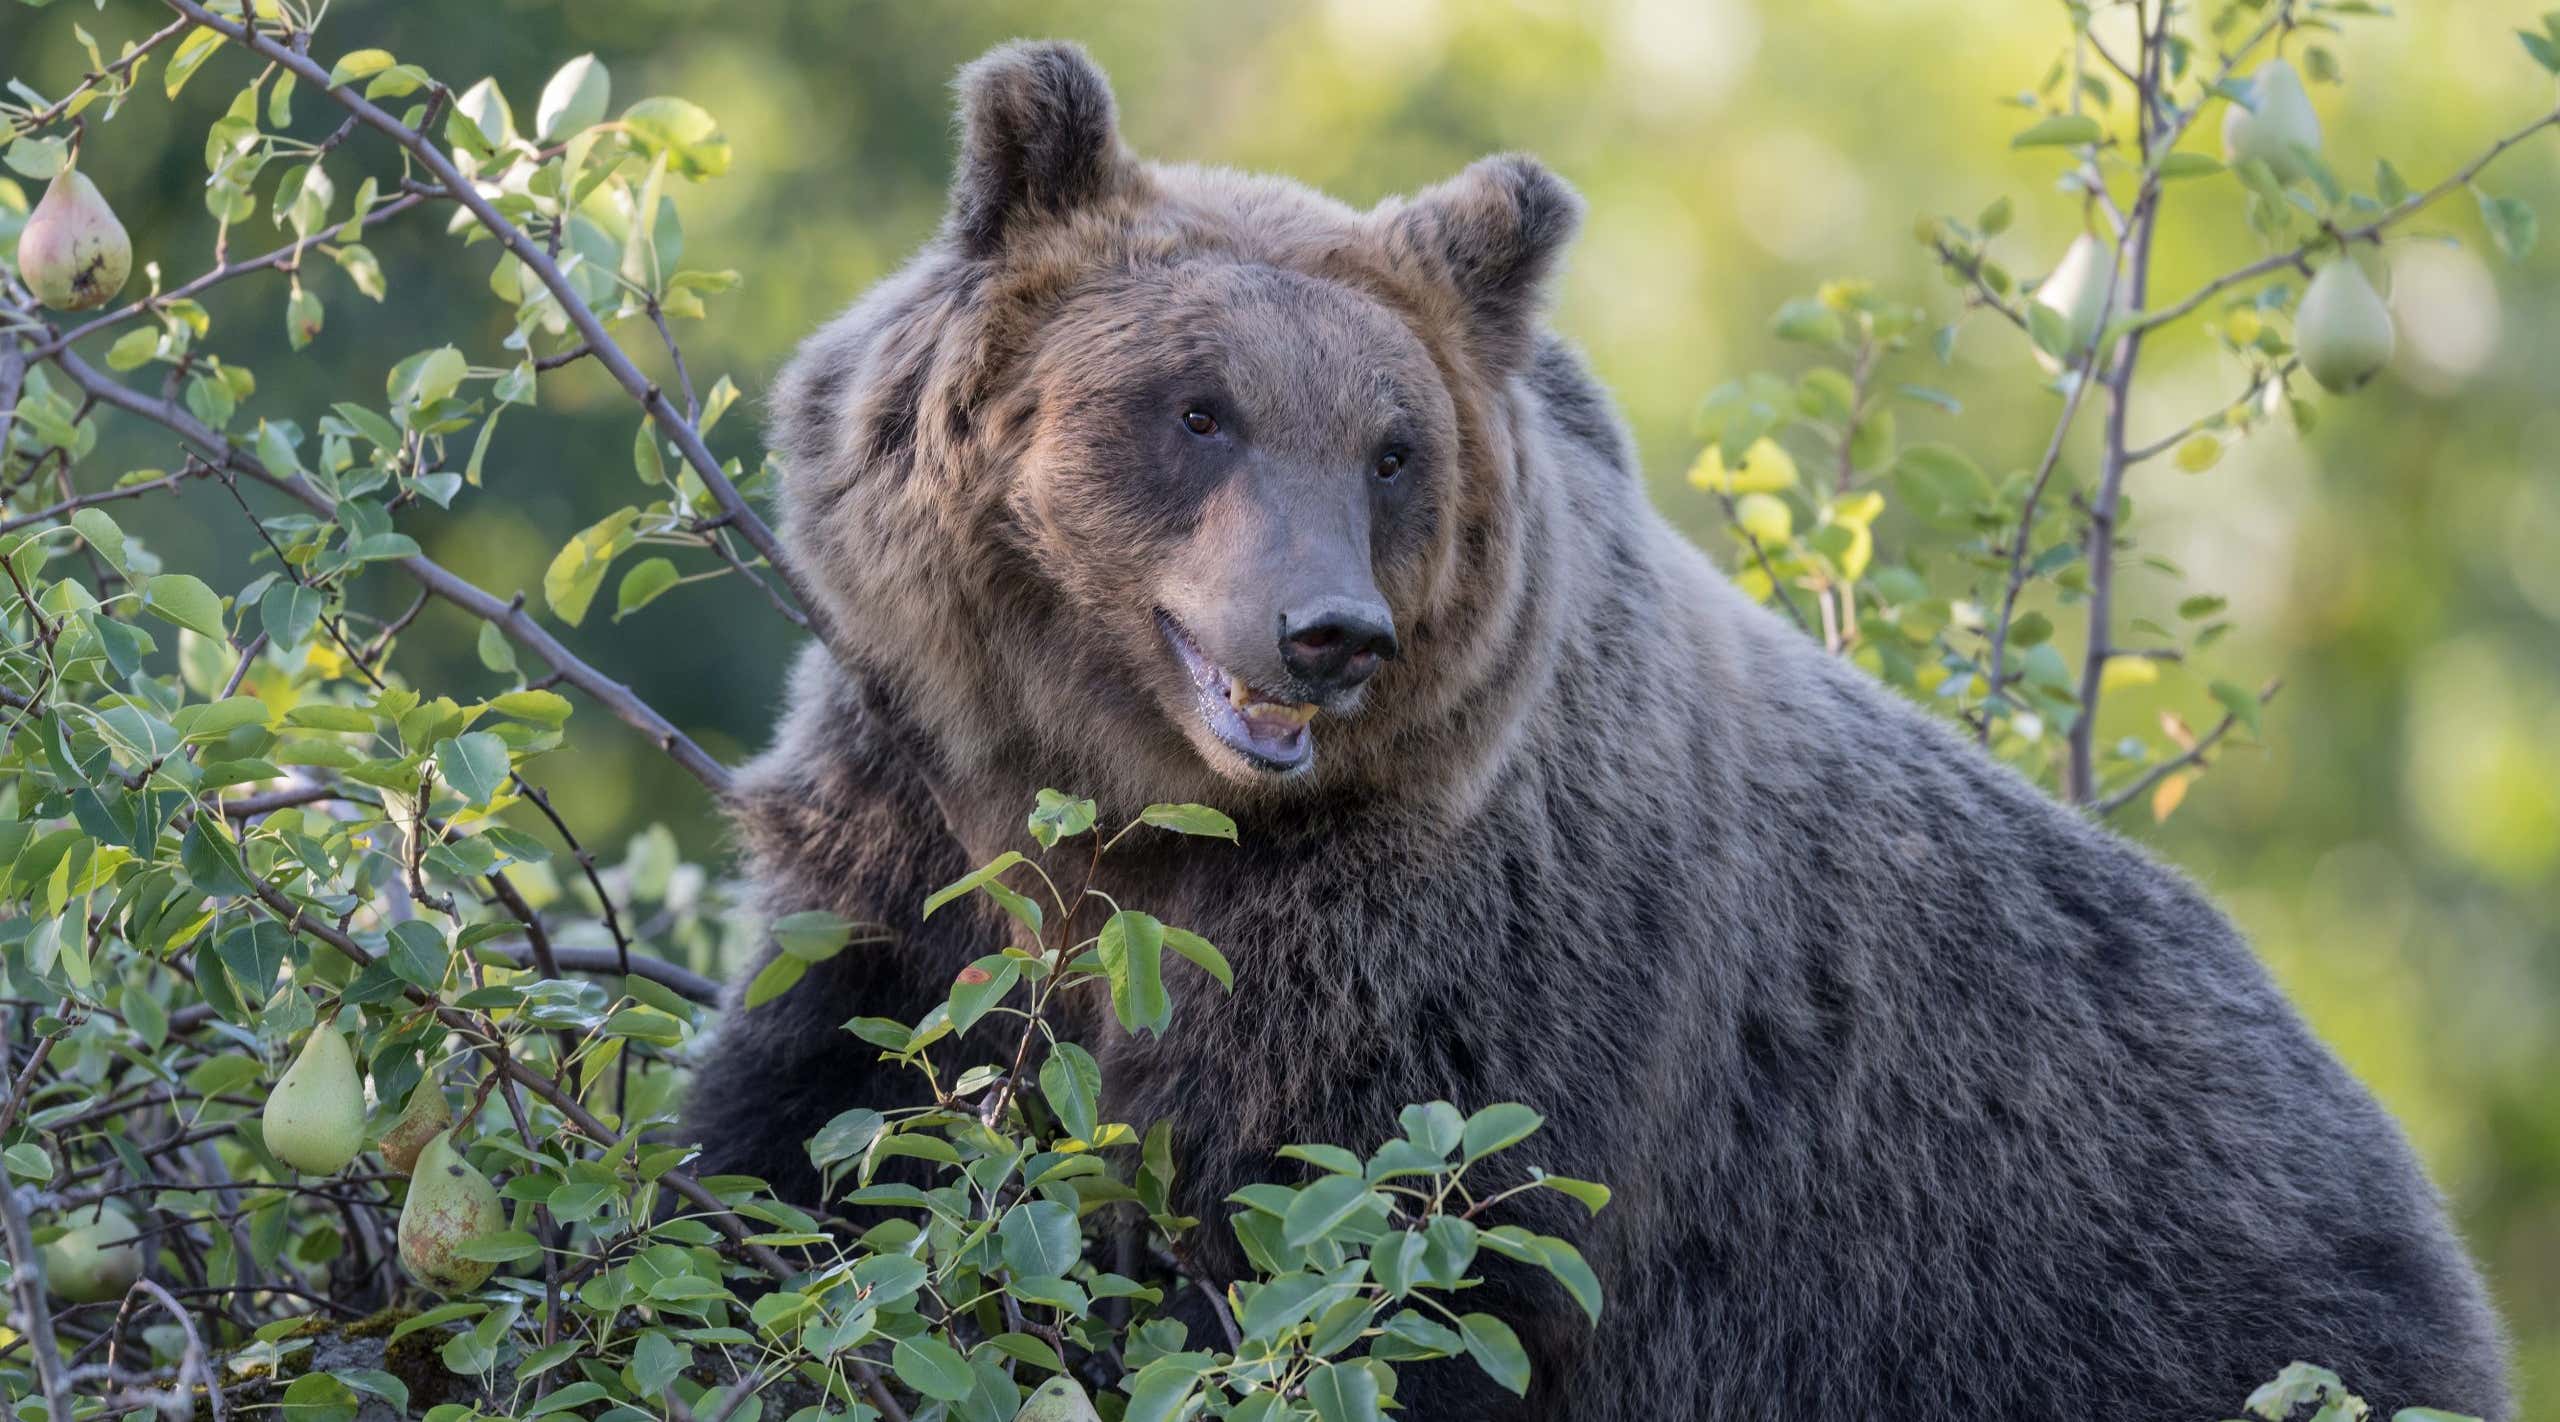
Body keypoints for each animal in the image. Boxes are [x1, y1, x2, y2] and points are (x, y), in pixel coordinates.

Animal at [685, 40, 2512, 1422]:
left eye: (1391, 448)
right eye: (1196, 408)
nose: (1328, 633)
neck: (1137, 811)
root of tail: (2420, 1203)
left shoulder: (1452, 981)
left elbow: (1358, 1265)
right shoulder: (908, 815)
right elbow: (813, 1112)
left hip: (2129, 1299)